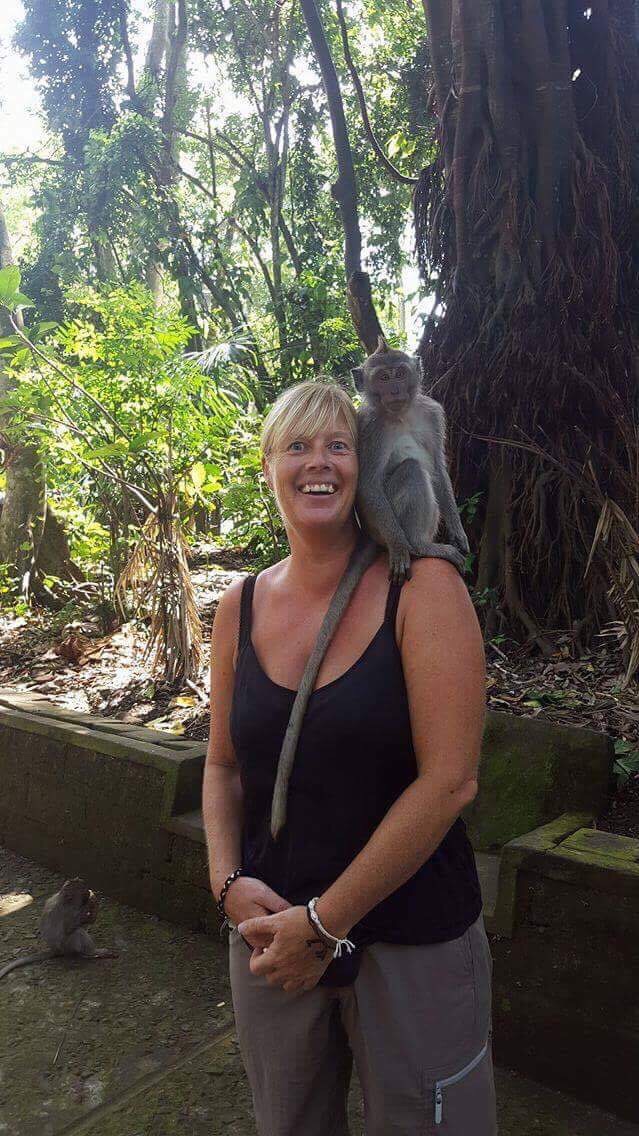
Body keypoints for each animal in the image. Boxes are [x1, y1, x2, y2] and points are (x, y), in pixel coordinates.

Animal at [269, 337, 469, 839]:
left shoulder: (431, 413)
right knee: (409, 474)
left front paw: (460, 534)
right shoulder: (370, 428)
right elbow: (371, 487)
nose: (395, 387)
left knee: (422, 472)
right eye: (382, 377)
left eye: (399, 372)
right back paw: (417, 547)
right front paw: (402, 549)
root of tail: (368, 538)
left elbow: (441, 471)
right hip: (382, 524)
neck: (398, 414)